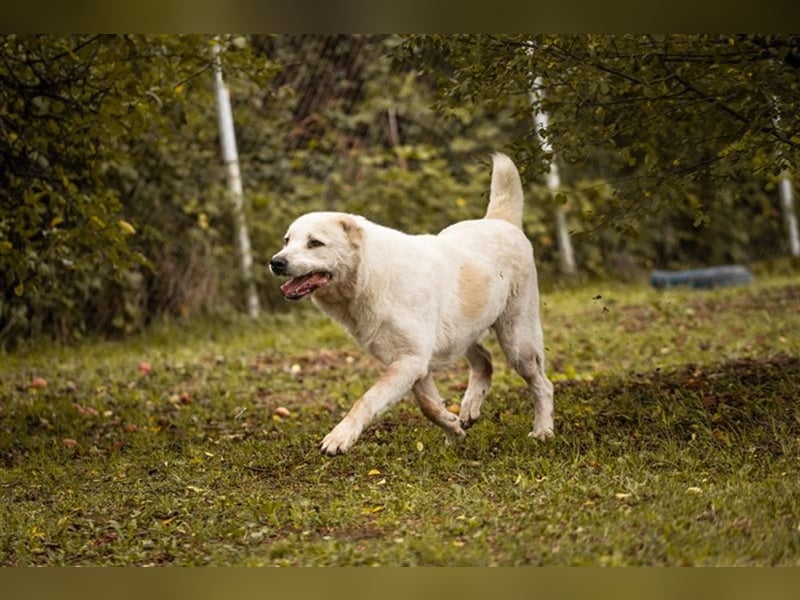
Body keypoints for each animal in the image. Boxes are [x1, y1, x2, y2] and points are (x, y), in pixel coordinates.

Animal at [272, 155, 552, 454]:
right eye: (287, 241)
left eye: (315, 243)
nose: (276, 262)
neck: (369, 277)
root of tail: (499, 220)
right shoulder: (414, 363)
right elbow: (429, 407)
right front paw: (454, 431)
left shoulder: (410, 361)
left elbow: (367, 400)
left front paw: (339, 437)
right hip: (460, 335)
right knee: (485, 361)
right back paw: (469, 409)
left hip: (517, 342)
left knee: (542, 385)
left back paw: (543, 431)